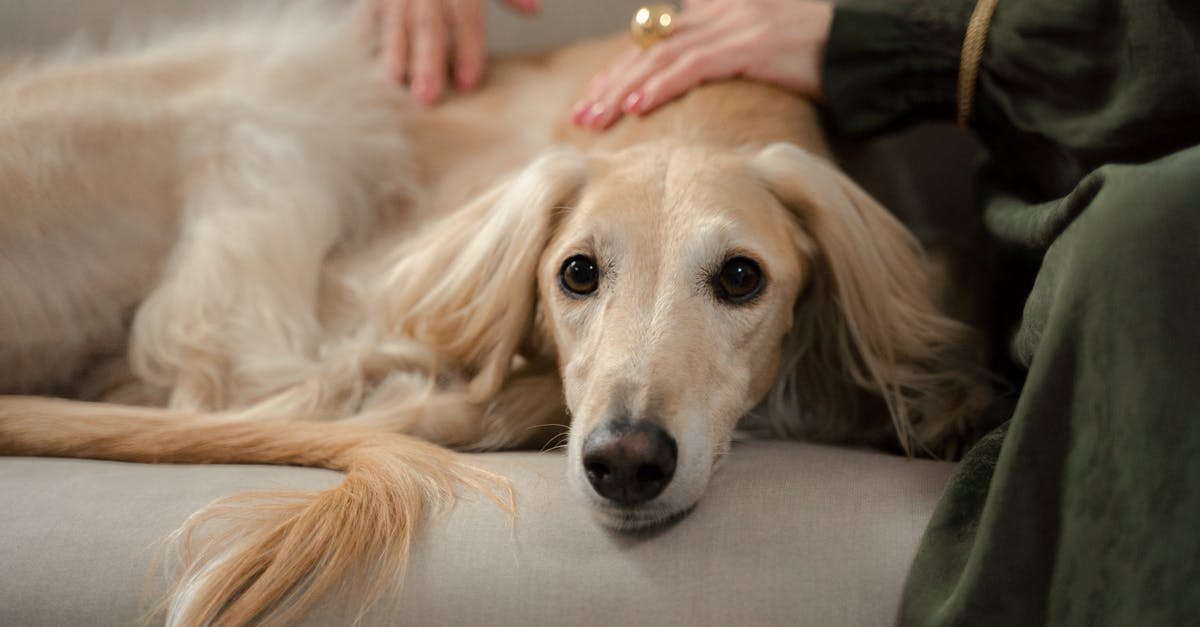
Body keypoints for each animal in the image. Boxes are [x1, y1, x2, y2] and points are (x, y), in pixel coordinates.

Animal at [0, 2, 993, 619]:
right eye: (577, 272)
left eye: (742, 278)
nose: (625, 463)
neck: (698, 108)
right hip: (282, 106)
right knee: (234, 375)